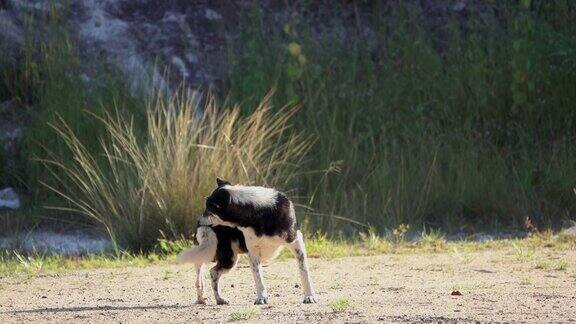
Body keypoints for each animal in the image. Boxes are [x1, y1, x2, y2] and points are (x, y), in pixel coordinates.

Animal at [178, 178, 318, 306]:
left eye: (210, 210)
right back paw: (217, 299)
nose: (198, 221)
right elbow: (259, 279)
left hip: (215, 254)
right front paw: (261, 298)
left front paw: (309, 296)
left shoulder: (297, 244)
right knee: (210, 273)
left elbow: (304, 273)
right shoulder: (253, 253)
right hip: (226, 257)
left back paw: (208, 299)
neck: (260, 213)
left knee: (202, 276)